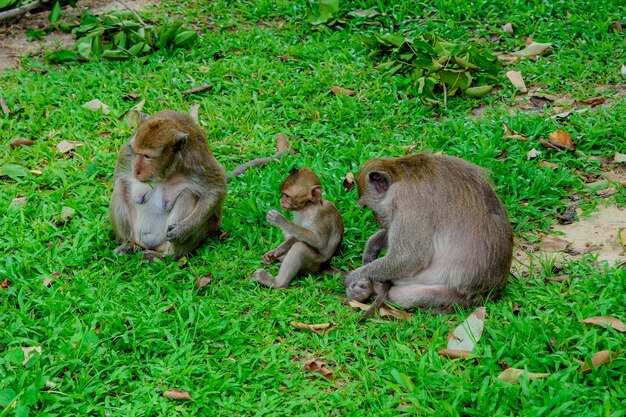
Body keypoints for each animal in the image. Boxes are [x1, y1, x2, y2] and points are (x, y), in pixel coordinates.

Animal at [110, 110, 288, 260]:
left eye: (147, 156)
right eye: (136, 152)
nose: (136, 170)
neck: (167, 170)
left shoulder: (197, 163)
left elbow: (215, 191)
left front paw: (184, 229)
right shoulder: (126, 153)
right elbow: (119, 177)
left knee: (188, 194)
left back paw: (167, 257)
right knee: (120, 185)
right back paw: (129, 245)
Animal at [342, 152, 512, 312]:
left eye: (368, 207)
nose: (378, 222)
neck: (402, 174)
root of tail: (489, 292)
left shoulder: (407, 201)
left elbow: (409, 258)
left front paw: (353, 276)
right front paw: (373, 245)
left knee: (409, 295)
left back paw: (370, 289)